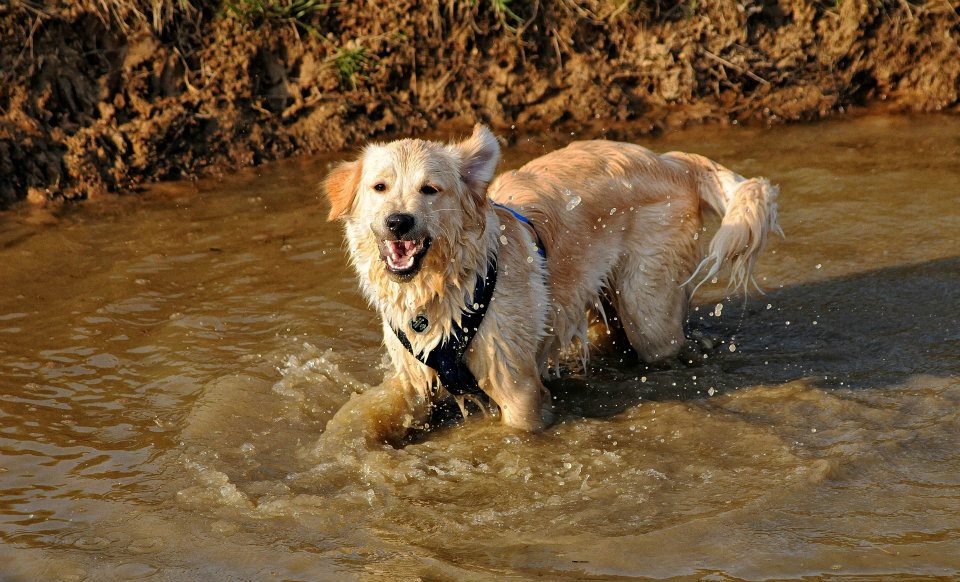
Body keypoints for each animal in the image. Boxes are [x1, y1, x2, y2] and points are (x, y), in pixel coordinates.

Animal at [324, 126, 780, 438]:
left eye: (430, 189)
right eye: (379, 187)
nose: (398, 221)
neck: (445, 287)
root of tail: (671, 160)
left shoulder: (516, 386)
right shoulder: (413, 379)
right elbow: (375, 411)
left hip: (648, 309)